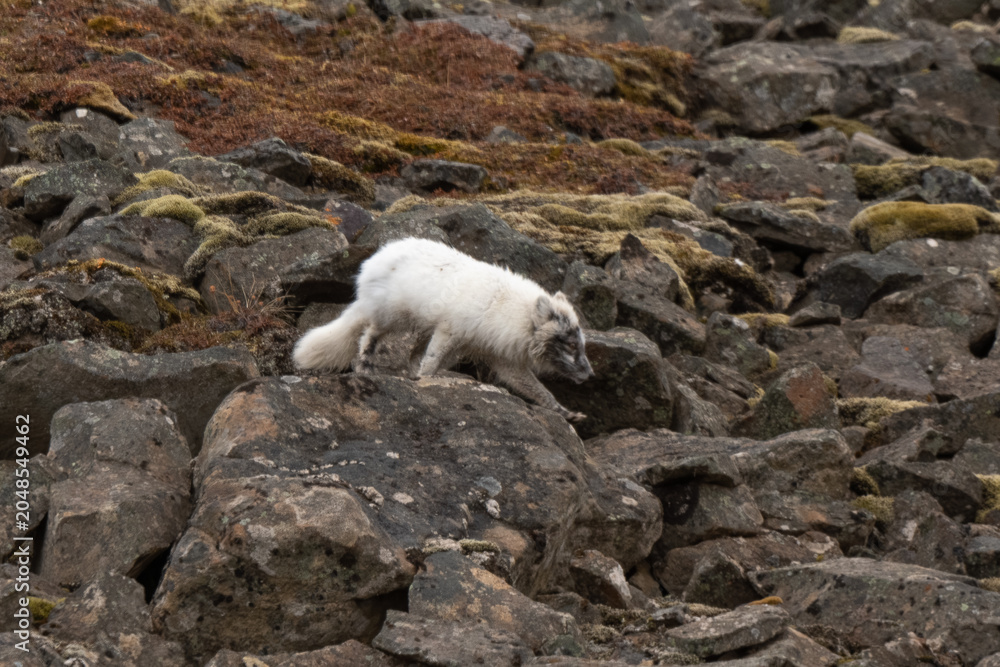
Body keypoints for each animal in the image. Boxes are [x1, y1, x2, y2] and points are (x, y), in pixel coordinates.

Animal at [293, 237, 595, 422]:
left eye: (581, 344)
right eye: (571, 345)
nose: (591, 375)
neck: (507, 310)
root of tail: (373, 260)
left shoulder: (499, 357)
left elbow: (540, 392)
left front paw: (567, 414)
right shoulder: (450, 331)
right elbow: (432, 361)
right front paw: (427, 384)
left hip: (420, 326)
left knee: (409, 353)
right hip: (394, 316)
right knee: (369, 333)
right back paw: (366, 366)